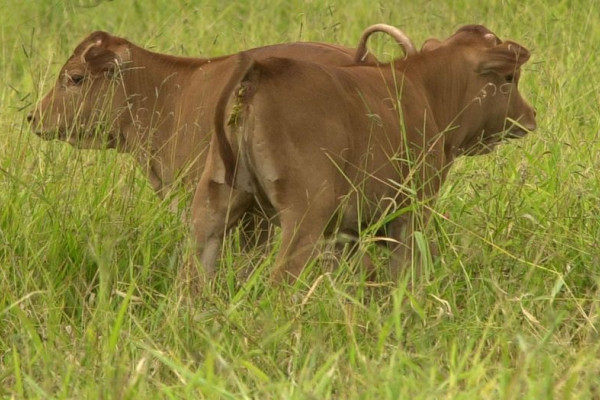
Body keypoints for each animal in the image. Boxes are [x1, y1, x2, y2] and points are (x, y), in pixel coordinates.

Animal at [191, 24, 536, 284]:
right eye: (509, 78)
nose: (530, 115)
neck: (424, 87)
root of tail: (261, 70)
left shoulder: (347, 231)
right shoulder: (413, 210)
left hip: (212, 205)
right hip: (303, 217)